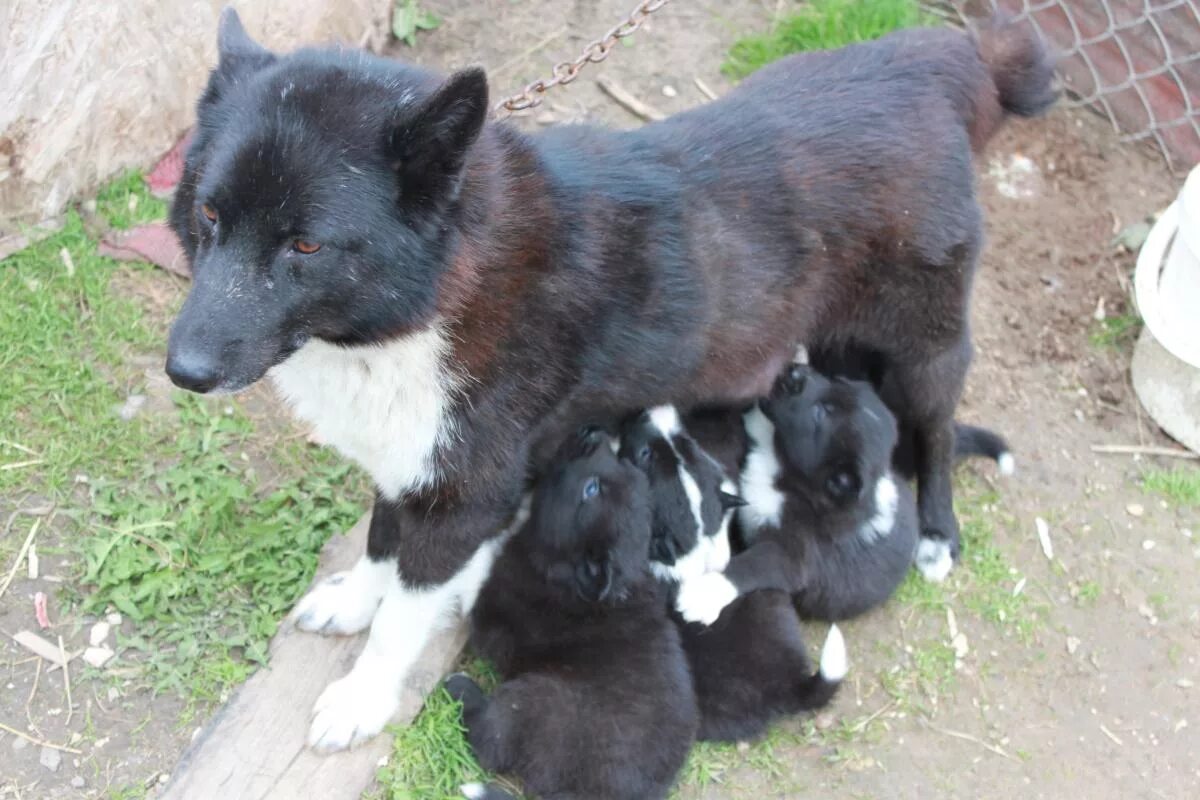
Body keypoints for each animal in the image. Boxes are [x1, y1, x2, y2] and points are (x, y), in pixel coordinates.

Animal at [448, 429, 696, 800]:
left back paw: (463, 690)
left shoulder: (497, 621)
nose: (594, 433)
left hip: (532, 698)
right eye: (622, 464)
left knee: (490, 741)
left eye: (590, 490)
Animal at [681, 367, 921, 628]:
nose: (795, 371)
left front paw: (705, 593)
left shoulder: (793, 556)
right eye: (838, 381)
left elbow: (753, 565)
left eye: (820, 414)